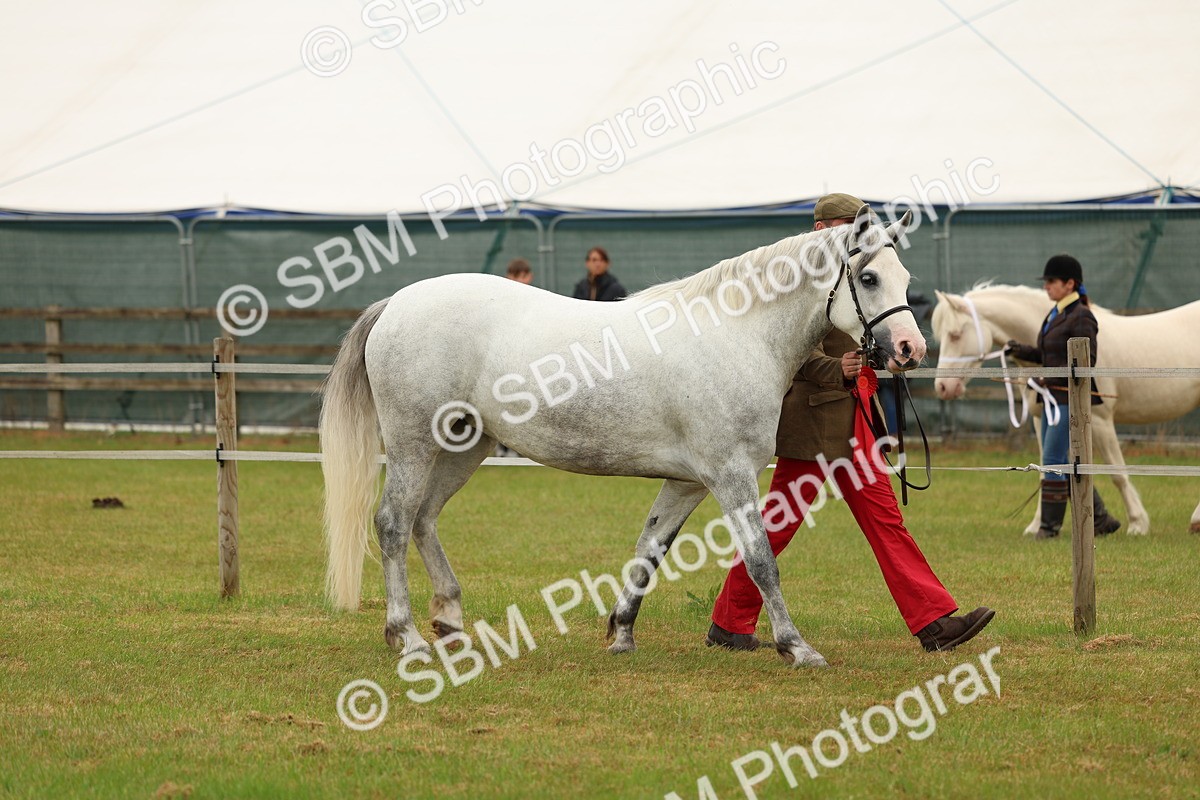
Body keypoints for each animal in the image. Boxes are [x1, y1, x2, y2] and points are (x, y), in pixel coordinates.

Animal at [319, 207, 924, 669]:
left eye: (906, 280)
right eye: (869, 278)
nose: (910, 350)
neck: (735, 335)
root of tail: (396, 305)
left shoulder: (687, 483)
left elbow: (648, 552)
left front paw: (622, 633)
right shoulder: (730, 476)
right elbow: (760, 561)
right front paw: (797, 647)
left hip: (463, 447)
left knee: (423, 520)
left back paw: (449, 620)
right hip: (414, 446)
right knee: (393, 524)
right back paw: (407, 636)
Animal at [931, 283, 1200, 534]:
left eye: (955, 335)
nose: (943, 387)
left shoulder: (1100, 422)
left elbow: (1117, 473)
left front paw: (1137, 524)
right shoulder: (1044, 420)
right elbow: (1048, 470)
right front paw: (1038, 525)